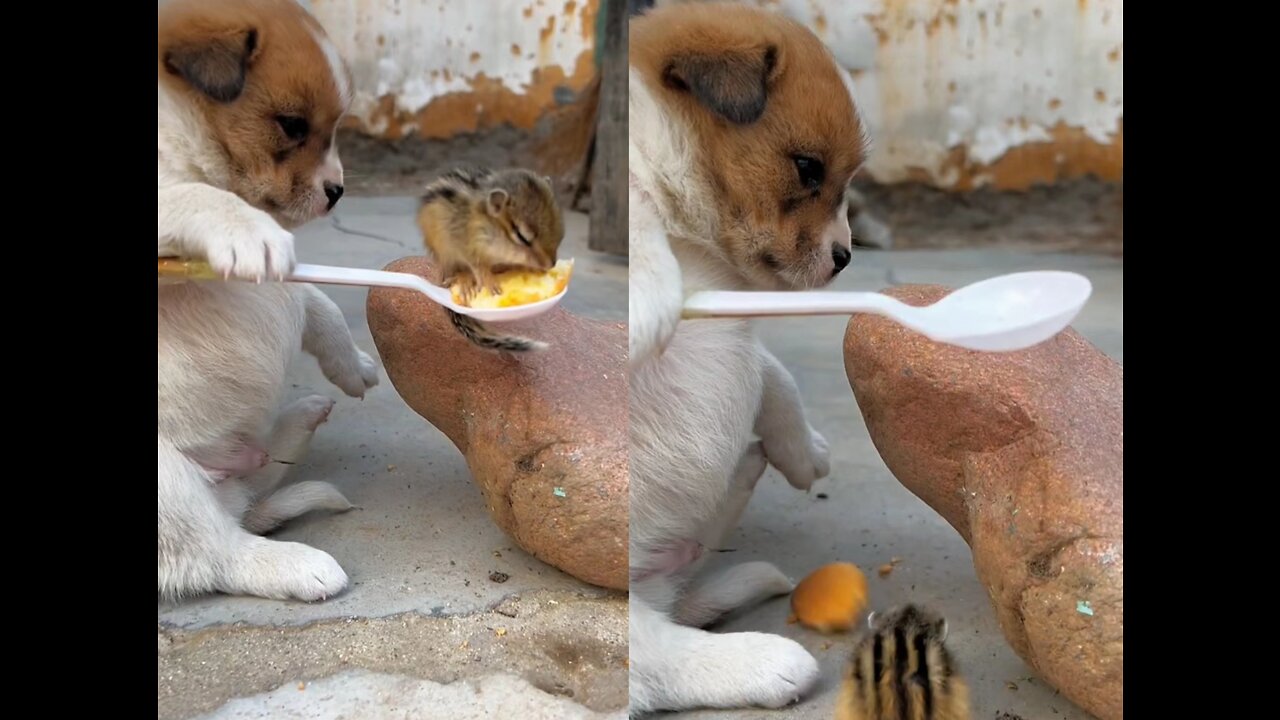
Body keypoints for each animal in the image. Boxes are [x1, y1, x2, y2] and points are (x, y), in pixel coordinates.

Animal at [157, 0, 376, 599]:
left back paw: (299, 423)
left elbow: (317, 303)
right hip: (166, 481)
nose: (338, 192)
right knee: (214, 554)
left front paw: (352, 363)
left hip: (233, 467)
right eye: (292, 125)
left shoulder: (291, 285)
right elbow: (186, 195)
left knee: (254, 482)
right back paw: (296, 565)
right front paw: (244, 228)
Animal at [629, 1, 870, 712]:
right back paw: (767, 663)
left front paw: (803, 449)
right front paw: (649, 293)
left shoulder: (728, 322)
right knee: (655, 663)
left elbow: (771, 372)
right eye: (808, 169)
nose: (846, 258)